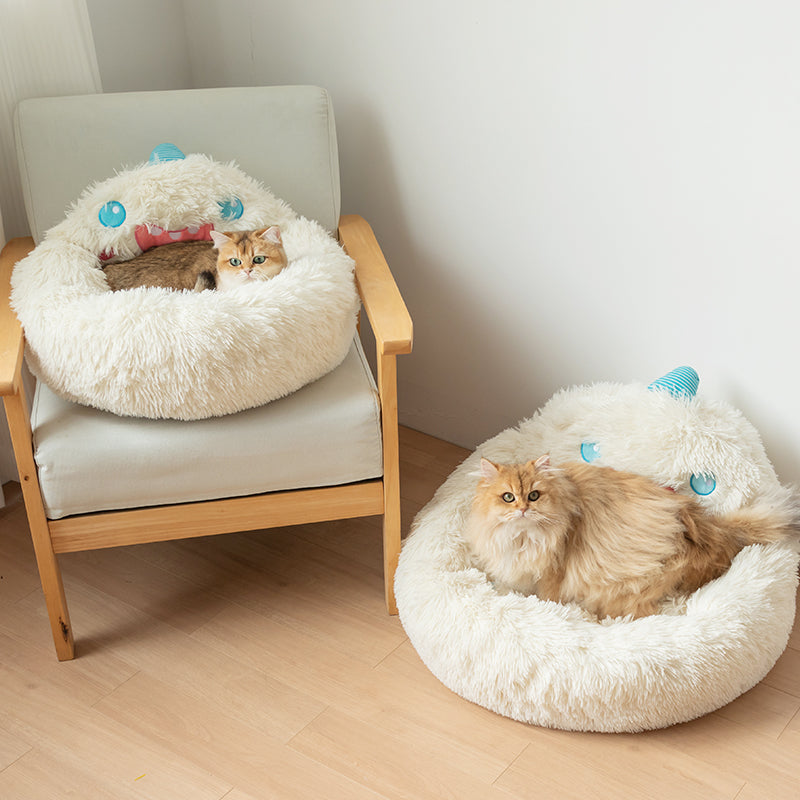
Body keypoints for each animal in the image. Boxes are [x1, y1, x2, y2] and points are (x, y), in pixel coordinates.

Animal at [466, 456, 796, 620]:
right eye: (508, 497)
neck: (522, 537)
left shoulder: (552, 573)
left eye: (534, 496)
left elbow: (545, 596)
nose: (523, 509)